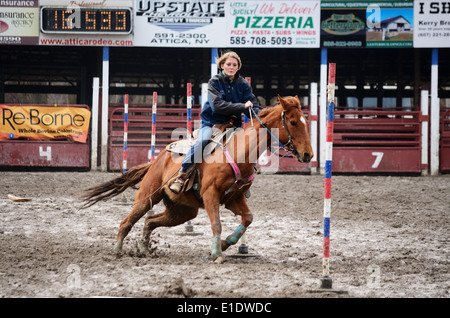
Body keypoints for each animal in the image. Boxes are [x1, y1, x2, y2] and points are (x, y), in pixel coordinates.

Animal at [81, 95, 312, 264]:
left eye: (305, 122)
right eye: (292, 122)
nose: (308, 155)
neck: (239, 151)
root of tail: (159, 158)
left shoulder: (234, 198)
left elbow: (248, 218)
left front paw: (226, 244)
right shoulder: (210, 194)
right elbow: (216, 223)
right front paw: (217, 253)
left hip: (182, 211)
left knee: (149, 221)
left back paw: (145, 249)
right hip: (147, 197)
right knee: (127, 222)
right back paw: (117, 250)